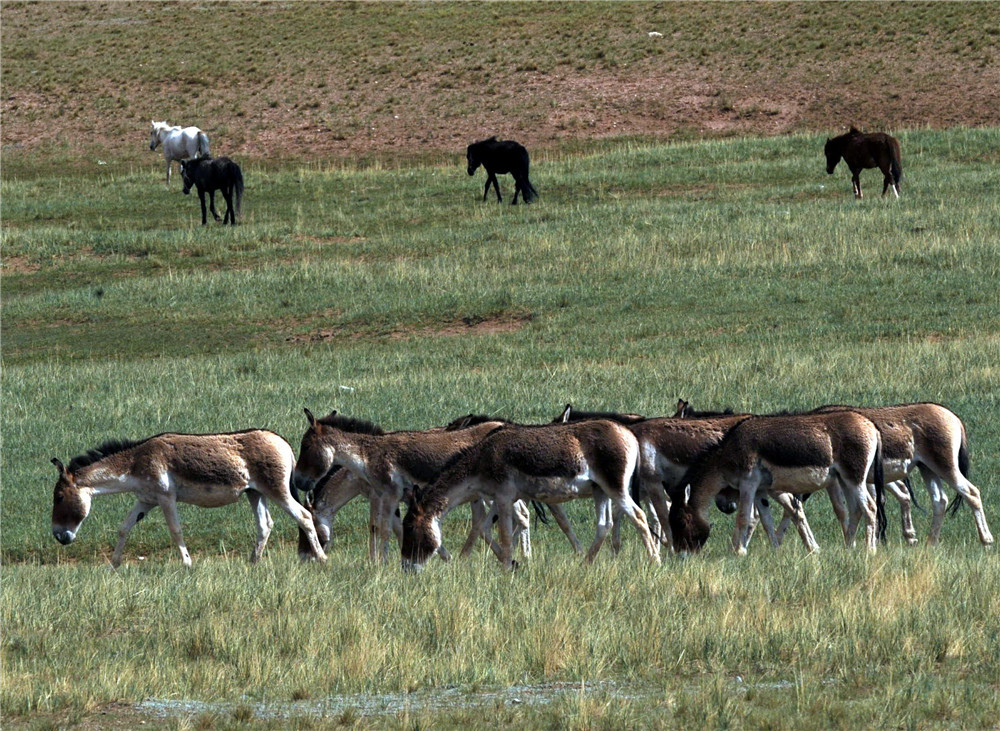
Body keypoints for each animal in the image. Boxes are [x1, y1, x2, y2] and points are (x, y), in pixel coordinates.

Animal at [50, 430, 327, 566]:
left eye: (59, 497)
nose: (59, 537)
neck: (134, 463)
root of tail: (283, 442)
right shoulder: (146, 499)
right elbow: (124, 528)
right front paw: (114, 565)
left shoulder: (165, 497)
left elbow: (176, 531)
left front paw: (187, 564)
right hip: (255, 493)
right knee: (265, 525)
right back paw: (253, 563)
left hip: (276, 490)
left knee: (303, 516)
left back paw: (322, 559)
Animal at [401, 419, 659, 572]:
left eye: (410, 527)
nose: (405, 567)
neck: (482, 460)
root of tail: (627, 432)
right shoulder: (501, 498)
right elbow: (484, 528)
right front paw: (512, 564)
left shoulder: (504, 497)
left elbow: (505, 535)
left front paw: (507, 568)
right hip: (600, 491)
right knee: (604, 525)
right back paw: (585, 564)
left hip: (616, 488)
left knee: (639, 517)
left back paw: (655, 561)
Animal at [669, 411, 886, 556]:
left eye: (681, 522)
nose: (681, 556)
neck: (730, 451)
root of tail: (870, 425)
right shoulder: (760, 491)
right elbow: (766, 521)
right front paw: (775, 550)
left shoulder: (748, 484)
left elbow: (743, 517)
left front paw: (739, 552)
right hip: (845, 480)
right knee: (856, 510)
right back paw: (849, 547)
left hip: (855, 479)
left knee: (870, 508)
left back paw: (870, 550)